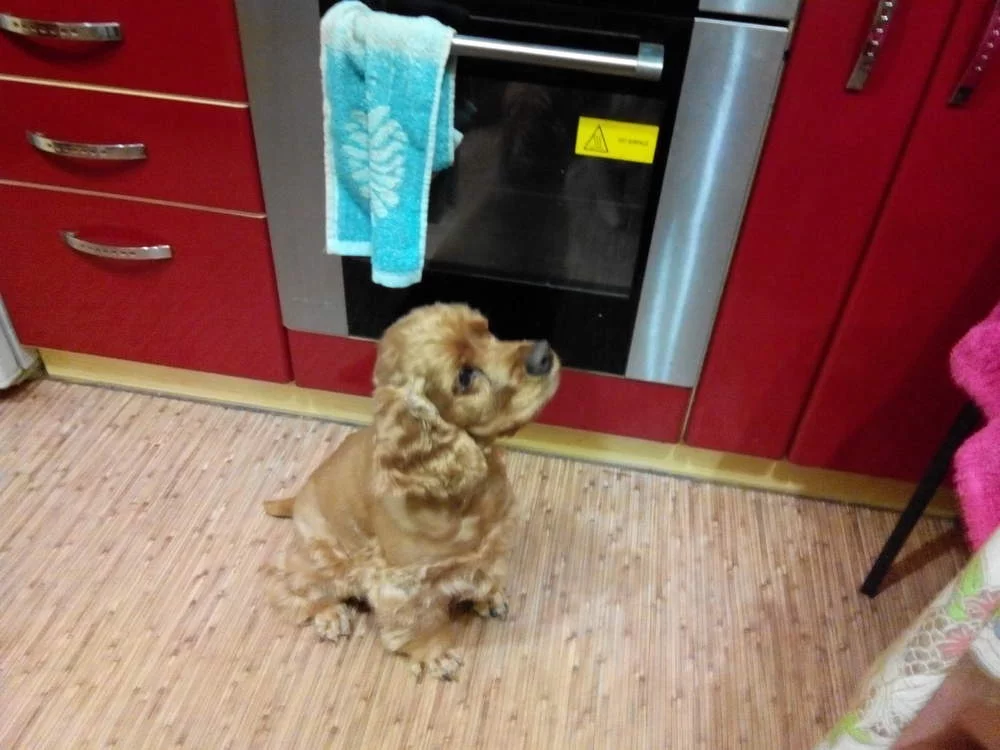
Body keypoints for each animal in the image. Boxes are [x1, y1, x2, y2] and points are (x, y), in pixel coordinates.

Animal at [262, 303, 560, 680]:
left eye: (486, 331)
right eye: (464, 377)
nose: (544, 353)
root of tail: (297, 498)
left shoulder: (493, 539)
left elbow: (488, 572)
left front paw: (489, 597)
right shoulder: (403, 581)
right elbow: (420, 621)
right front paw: (436, 654)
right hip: (324, 556)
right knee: (291, 584)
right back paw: (328, 614)